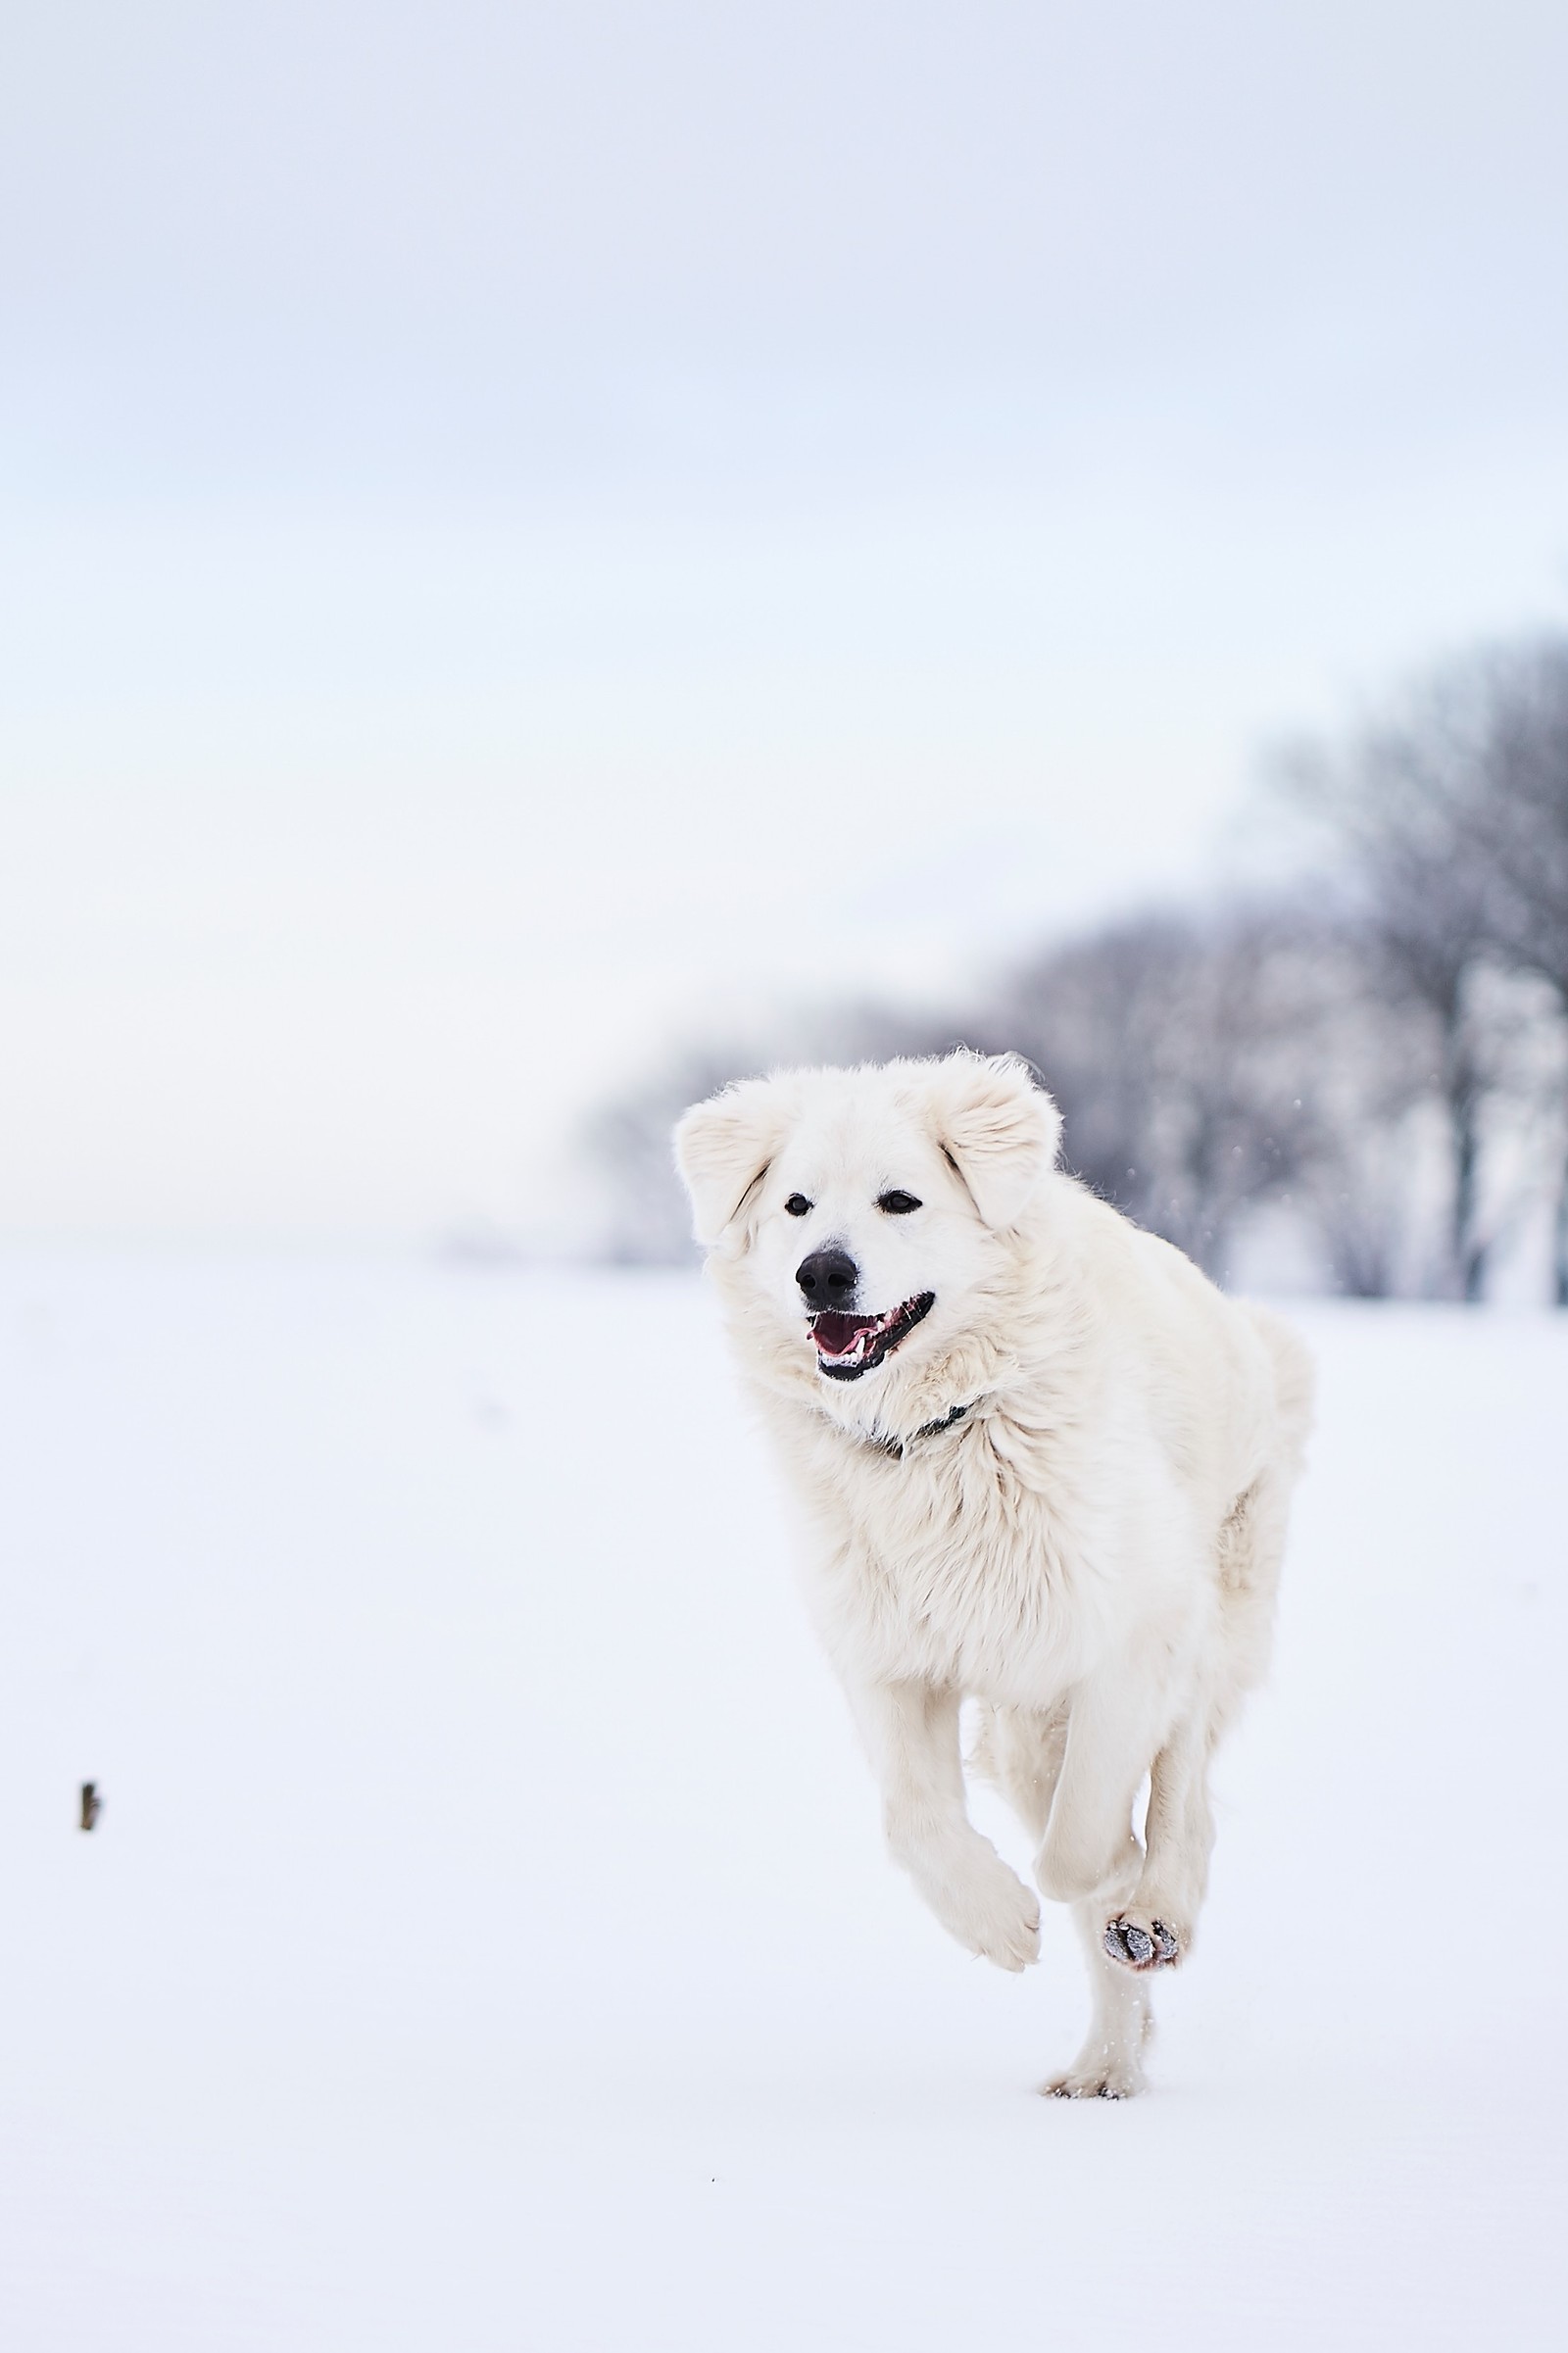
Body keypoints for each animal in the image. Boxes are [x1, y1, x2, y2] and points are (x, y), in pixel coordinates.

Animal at [673, 1049, 1308, 2098]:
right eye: (797, 1204)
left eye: (900, 1199)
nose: (822, 1272)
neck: (940, 1436)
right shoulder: (888, 1656)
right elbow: (912, 1817)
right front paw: (999, 1924)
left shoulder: (1131, 1632)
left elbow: (1084, 1837)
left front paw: (1086, 1885)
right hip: (1023, 1726)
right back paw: (1103, 2067)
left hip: (1210, 1614)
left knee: (1185, 1798)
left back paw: (1152, 1916)